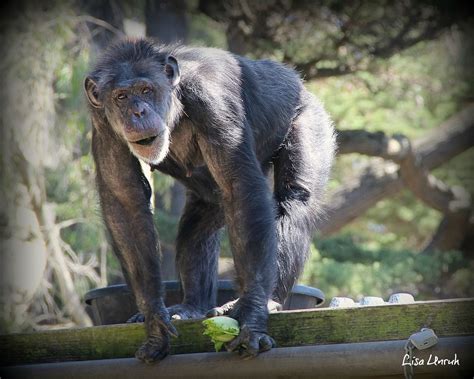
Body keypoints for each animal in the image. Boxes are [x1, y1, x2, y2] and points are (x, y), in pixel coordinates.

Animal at [86, 37, 336, 362]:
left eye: (146, 90)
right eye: (121, 96)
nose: (137, 112)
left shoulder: (212, 99)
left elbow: (240, 188)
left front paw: (252, 318)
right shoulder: (102, 123)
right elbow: (125, 201)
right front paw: (153, 319)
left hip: (309, 116)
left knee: (294, 199)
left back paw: (268, 300)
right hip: (208, 196)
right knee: (197, 228)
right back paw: (191, 306)